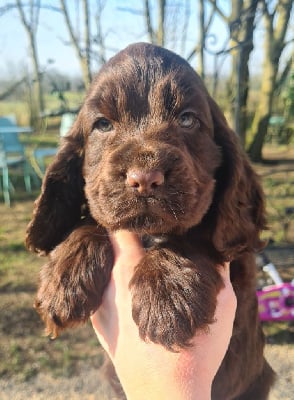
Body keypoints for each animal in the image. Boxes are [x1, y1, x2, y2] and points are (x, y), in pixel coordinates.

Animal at [26, 43, 274, 400]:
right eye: (103, 124)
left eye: (187, 119)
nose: (144, 178)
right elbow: (97, 218)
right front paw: (63, 280)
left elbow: (198, 230)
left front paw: (169, 299)